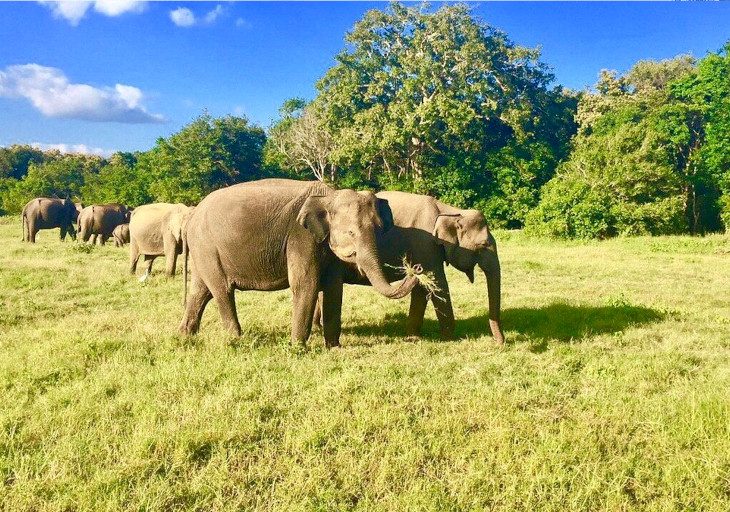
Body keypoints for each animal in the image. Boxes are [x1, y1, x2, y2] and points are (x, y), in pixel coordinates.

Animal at [178, 177, 420, 348]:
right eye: (351, 232)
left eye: (379, 230)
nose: (415, 270)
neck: (329, 196)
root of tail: (191, 216)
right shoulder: (300, 237)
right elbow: (306, 284)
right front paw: (297, 348)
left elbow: (334, 288)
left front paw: (334, 348)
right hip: (208, 248)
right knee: (222, 290)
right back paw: (237, 339)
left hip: (204, 251)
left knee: (200, 291)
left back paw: (185, 336)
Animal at [312, 191, 506, 344]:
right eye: (483, 245)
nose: (500, 343)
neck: (450, 211)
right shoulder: (425, 244)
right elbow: (437, 283)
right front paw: (449, 338)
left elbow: (422, 288)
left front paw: (413, 337)